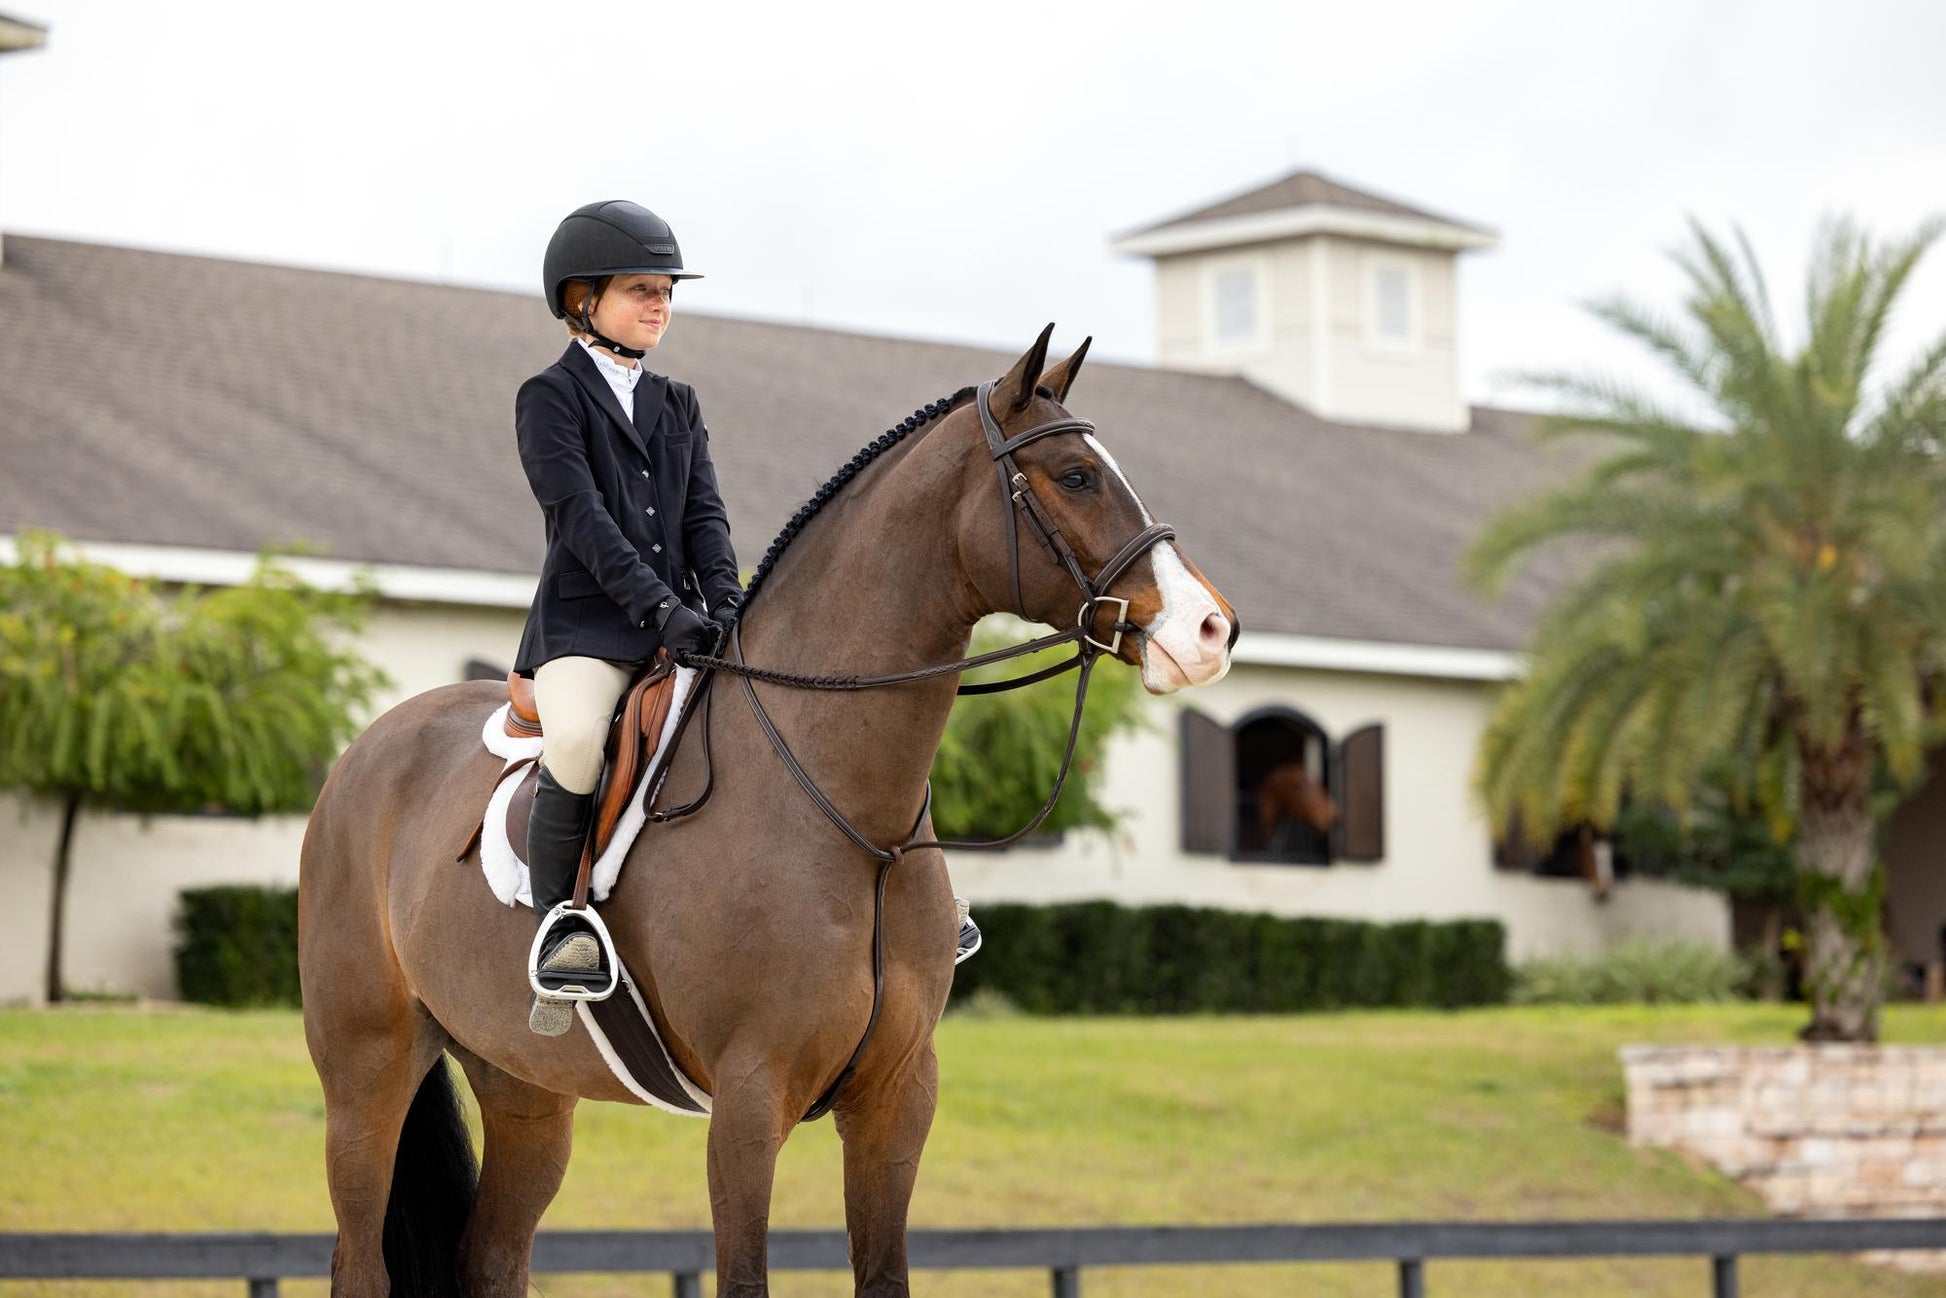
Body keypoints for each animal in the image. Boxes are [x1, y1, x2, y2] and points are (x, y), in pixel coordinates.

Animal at [298, 324, 1238, 1297]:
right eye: (1078, 477)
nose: (1211, 632)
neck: (855, 821)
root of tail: (367, 749)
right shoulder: (750, 1101)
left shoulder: (898, 1097)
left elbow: (884, 1274)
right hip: (368, 1069)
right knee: (359, 1256)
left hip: (525, 1085)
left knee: (490, 1254)